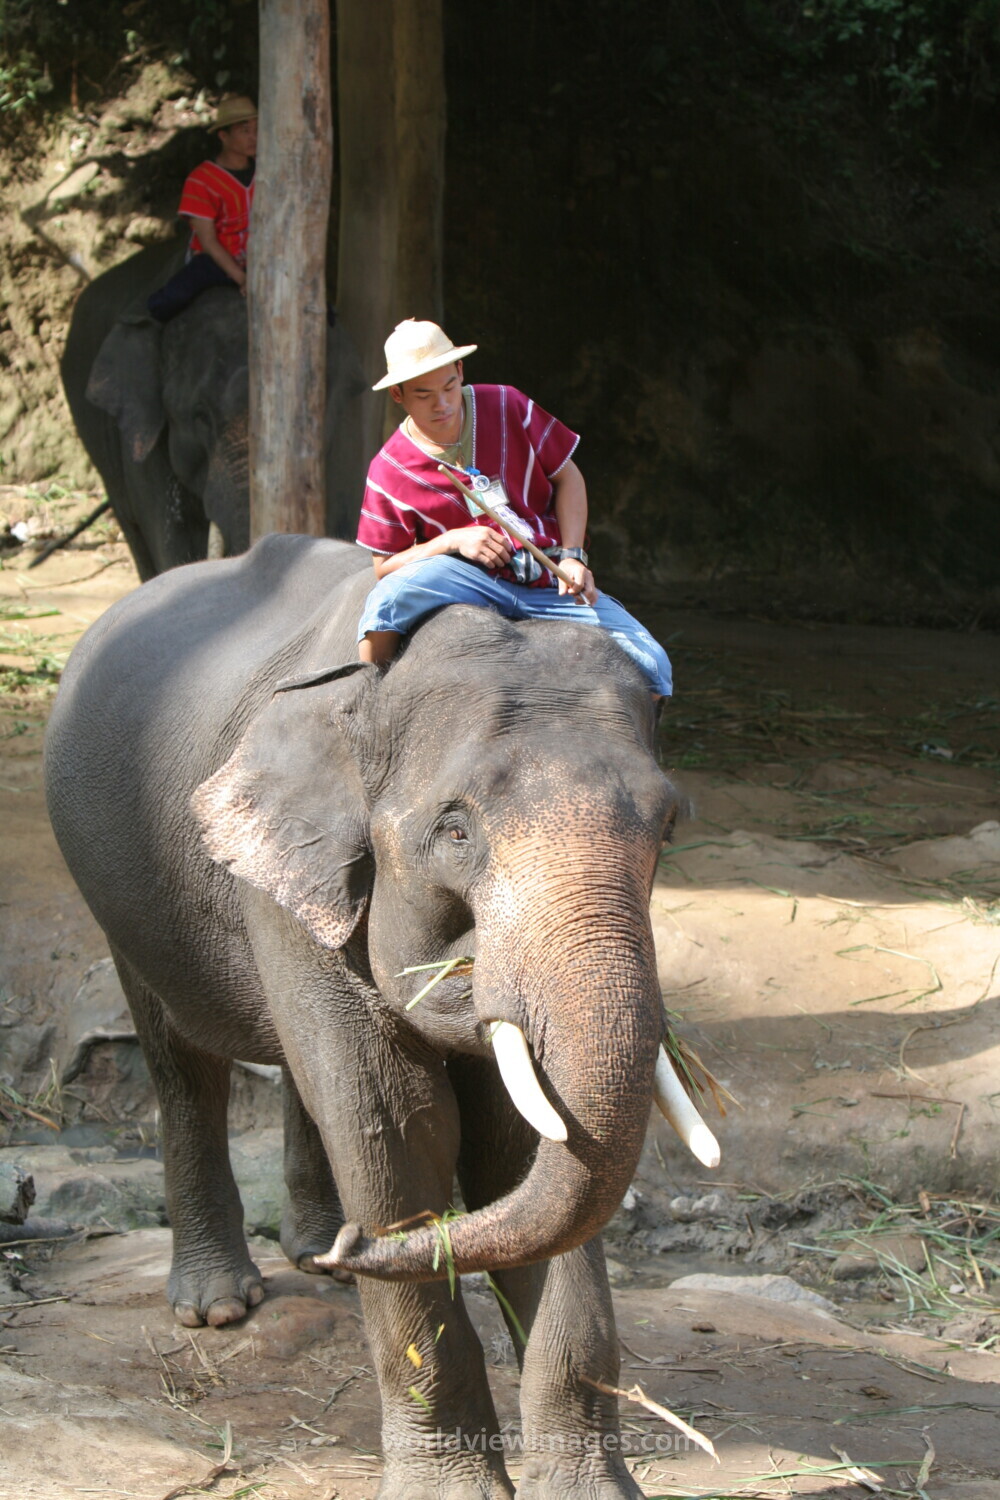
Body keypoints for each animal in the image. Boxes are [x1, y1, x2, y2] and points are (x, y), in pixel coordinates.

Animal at [44, 535, 718, 1500]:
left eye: (665, 827)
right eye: (455, 831)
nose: (355, 1247)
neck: (359, 700)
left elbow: (528, 1147)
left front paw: (590, 1492)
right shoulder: (280, 877)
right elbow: (397, 1125)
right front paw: (450, 1491)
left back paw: (310, 1252)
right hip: (122, 896)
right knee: (186, 1061)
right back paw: (224, 1302)